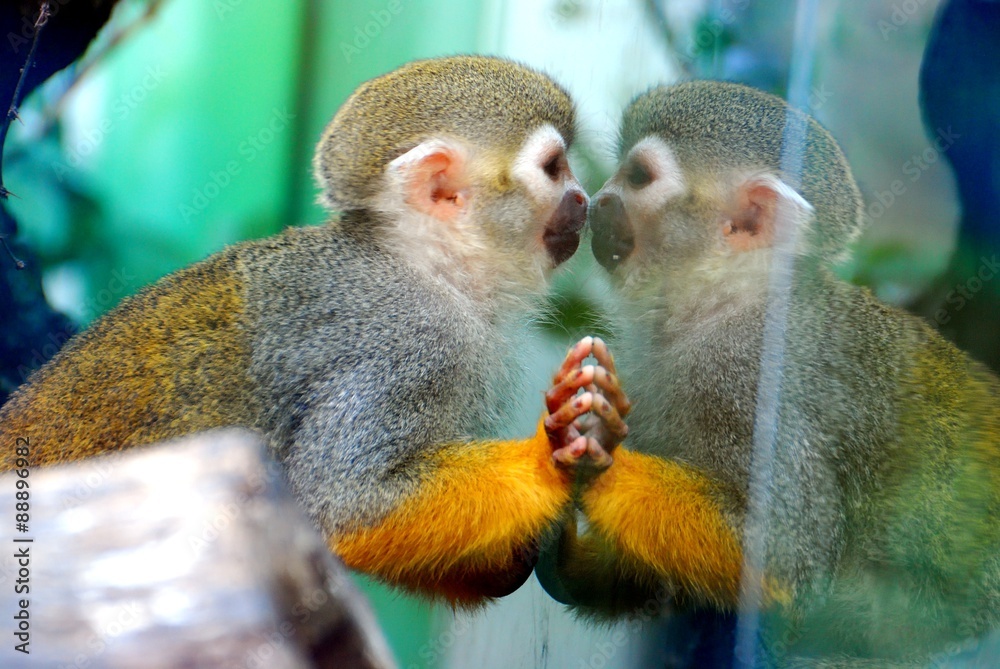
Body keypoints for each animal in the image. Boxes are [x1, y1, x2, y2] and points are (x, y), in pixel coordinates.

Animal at [0, 55, 621, 606]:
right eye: (554, 168)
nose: (585, 199)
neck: (428, 267)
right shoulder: (411, 346)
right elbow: (343, 504)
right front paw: (551, 456)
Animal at [536, 81, 1000, 666]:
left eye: (638, 177)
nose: (597, 201)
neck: (725, 301)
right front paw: (569, 562)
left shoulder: (745, 379)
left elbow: (785, 557)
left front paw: (598, 458)